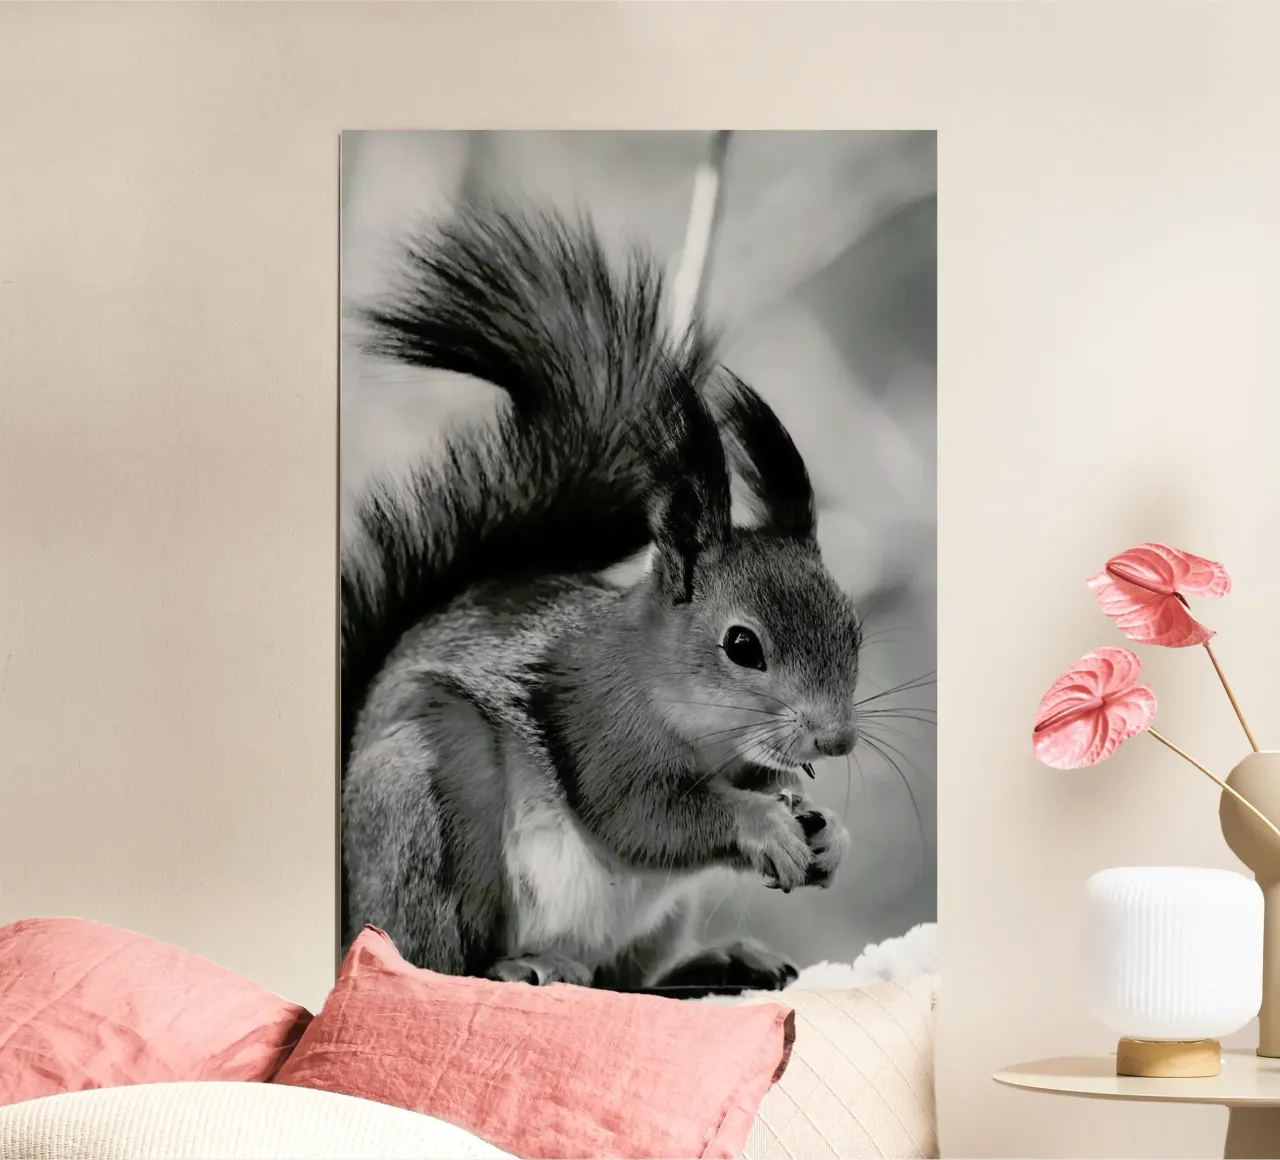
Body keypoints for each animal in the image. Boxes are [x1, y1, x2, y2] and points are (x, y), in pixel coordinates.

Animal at [341, 204, 862, 995]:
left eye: (853, 630)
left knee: (629, 984)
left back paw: (718, 961)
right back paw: (519, 964)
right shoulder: (597, 723)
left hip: (655, 924)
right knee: (438, 961)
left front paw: (828, 832)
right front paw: (764, 826)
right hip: (425, 803)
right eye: (742, 645)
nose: (834, 740)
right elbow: (644, 816)